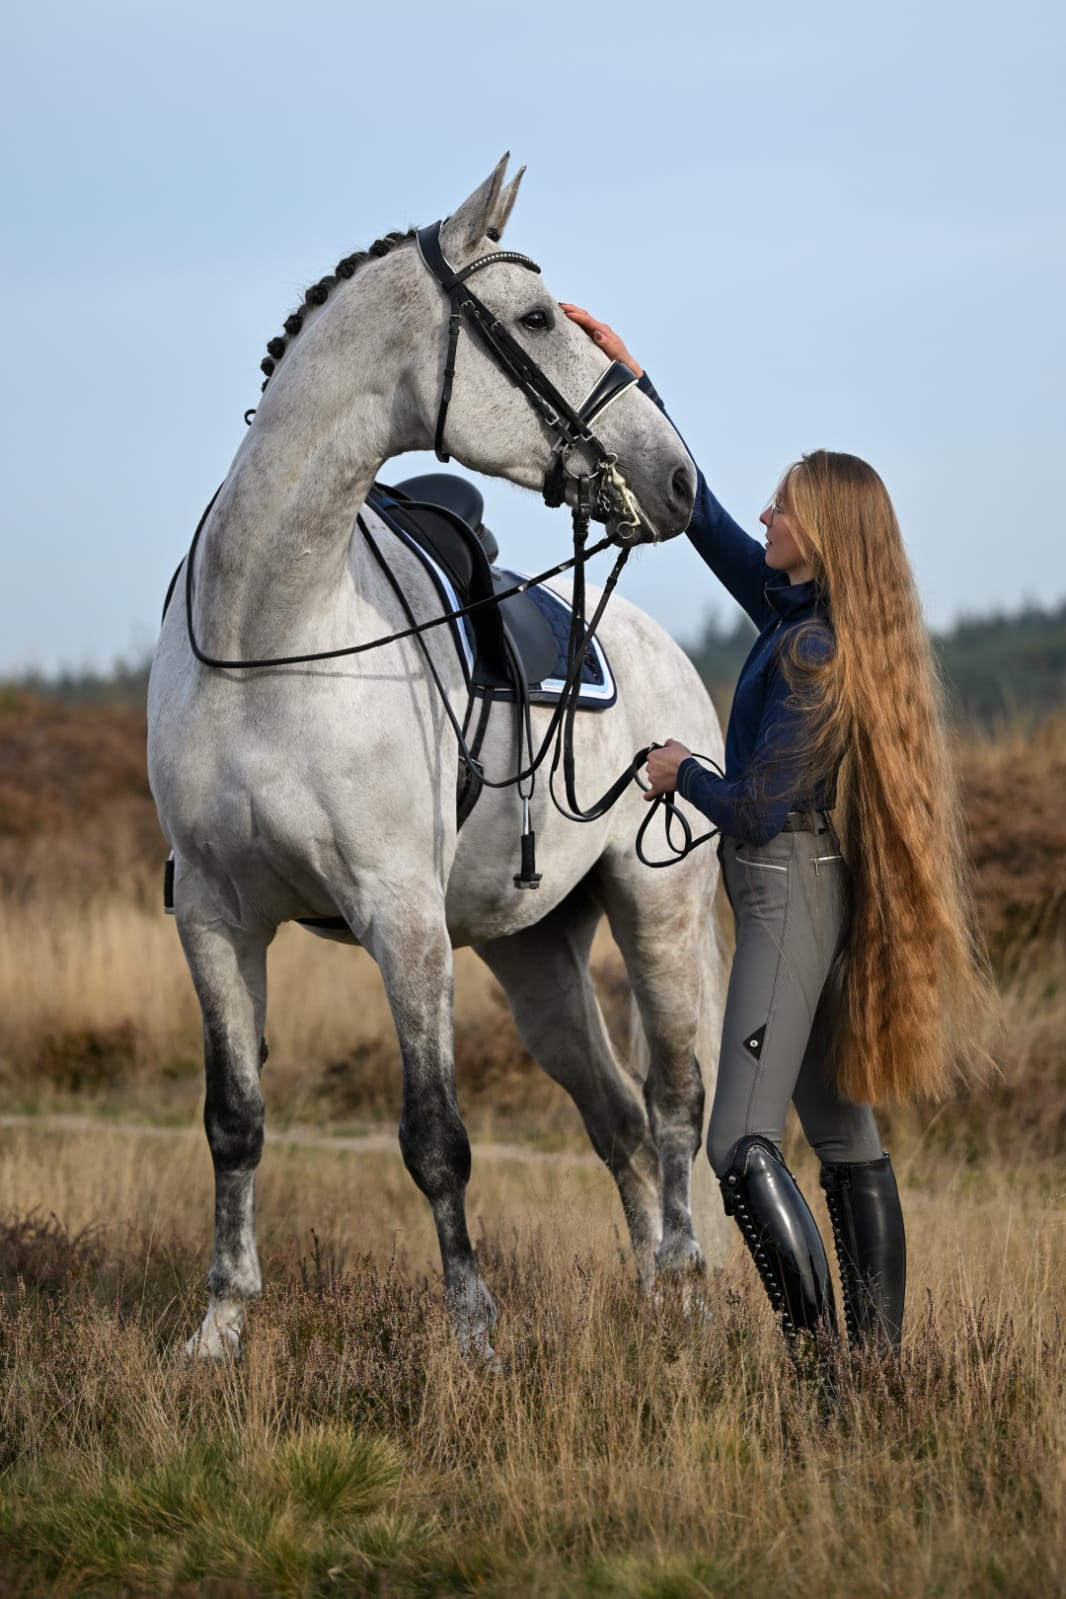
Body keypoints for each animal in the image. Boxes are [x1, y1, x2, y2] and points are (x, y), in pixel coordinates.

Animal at [150, 155, 728, 1362]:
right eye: (537, 318)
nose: (679, 482)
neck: (269, 637)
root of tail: (671, 659)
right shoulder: (216, 917)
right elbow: (235, 1122)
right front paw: (218, 1328)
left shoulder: (401, 918)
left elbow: (435, 1138)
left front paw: (474, 1338)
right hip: (534, 952)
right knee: (616, 1116)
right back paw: (651, 1294)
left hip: (657, 912)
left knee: (672, 1106)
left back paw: (688, 1295)